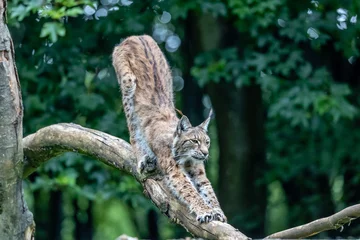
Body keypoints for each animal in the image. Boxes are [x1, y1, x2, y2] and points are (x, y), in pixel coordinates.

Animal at [112, 34, 225, 222]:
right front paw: (204, 211)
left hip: (168, 76)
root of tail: (136, 36)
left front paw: (218, 212)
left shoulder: (198, 171)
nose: (205, 153)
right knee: (133, 130)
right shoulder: (174, 171)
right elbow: (190, 192)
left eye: (207, 142)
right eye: (194, 141)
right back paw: (143, 157)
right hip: (128, 85)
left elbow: (209, 191)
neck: (185, 156)